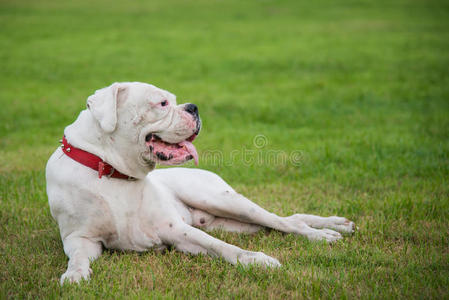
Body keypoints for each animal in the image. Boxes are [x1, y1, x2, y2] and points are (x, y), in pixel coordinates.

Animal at [45, 82, 354, 284]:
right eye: (162, 103)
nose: (193, 107)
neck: (113, 171)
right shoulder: (80, 238)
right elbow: (78, 257)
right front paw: (74, 274)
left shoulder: (175, 230)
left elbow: (222, 247)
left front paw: (257, 260)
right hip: (233, 221)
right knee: (284, 220)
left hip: (223, 199)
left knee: (285, 221)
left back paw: (326, 232)